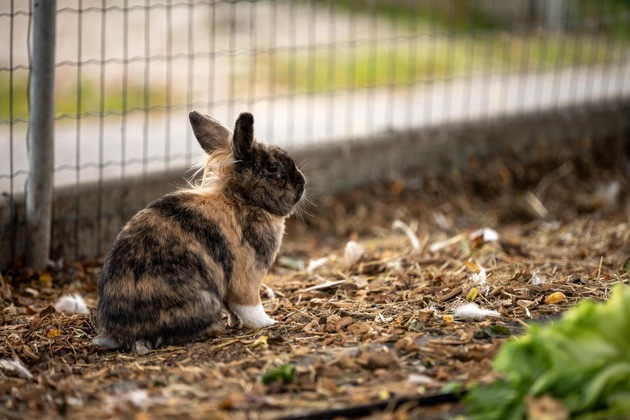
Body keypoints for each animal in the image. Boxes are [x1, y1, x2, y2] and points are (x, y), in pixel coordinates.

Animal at [92, 110, 308, 352]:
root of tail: (118, 334)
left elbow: (234, 309)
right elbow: (250, 307)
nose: (302, 183)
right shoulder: (247, 277)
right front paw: (268, 323)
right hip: (204, 299)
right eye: (272, 168)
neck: (243, 199)